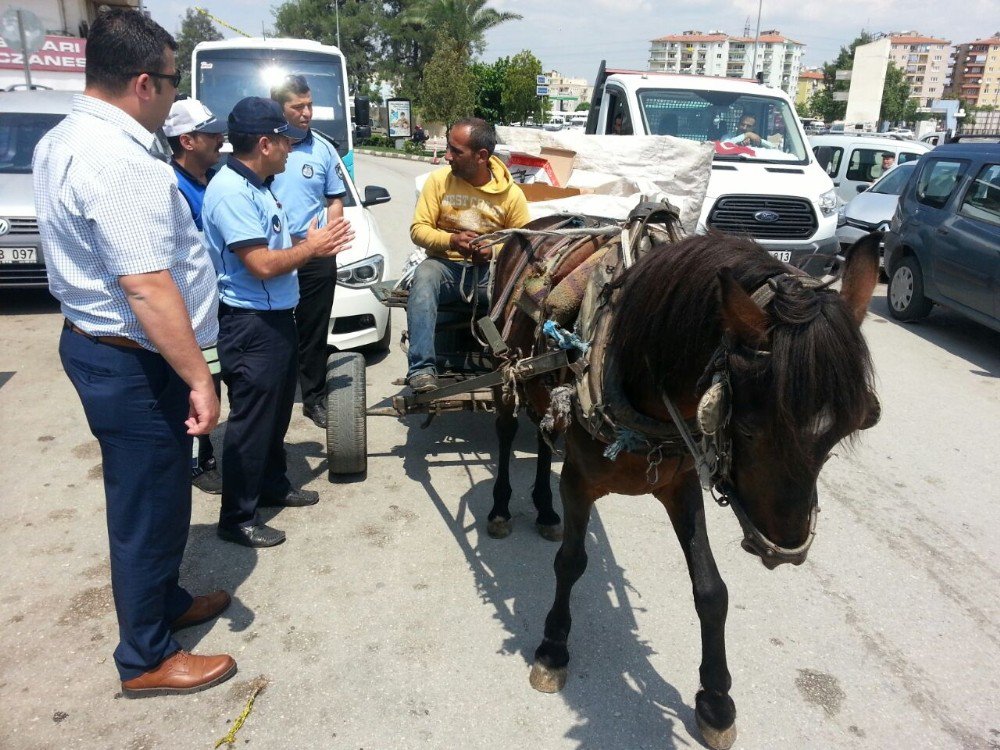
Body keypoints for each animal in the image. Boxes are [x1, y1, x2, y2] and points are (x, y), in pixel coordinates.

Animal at [486, 228, 884, 750]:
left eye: (846, 429)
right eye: (749, 427)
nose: (786, 549)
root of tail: (533, 230)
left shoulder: (682, 486)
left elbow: (711, 590)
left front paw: (715, 701)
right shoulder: (578, 481)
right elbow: (571, 563)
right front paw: (553, 649)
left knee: (542, 431)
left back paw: (545, 509)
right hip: (506, 372)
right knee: (508, 429)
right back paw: (500, 508)